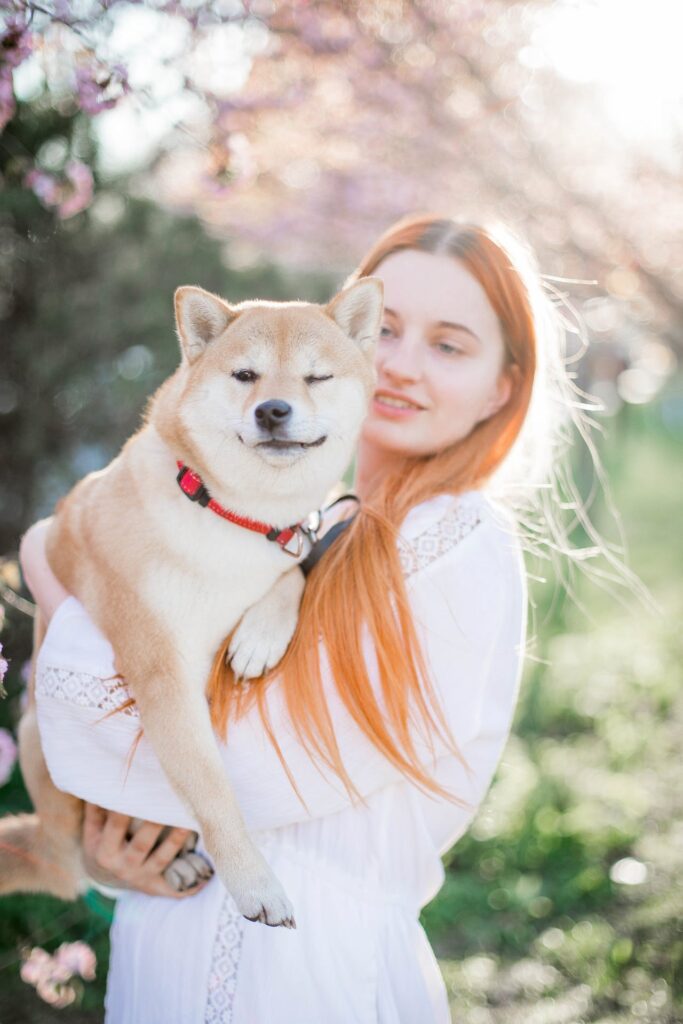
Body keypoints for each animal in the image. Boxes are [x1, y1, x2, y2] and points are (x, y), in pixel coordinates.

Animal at [0, 278, 382, 929]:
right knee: (88, 864)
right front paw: (255, 884)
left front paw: (259, 634)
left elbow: (291, 572)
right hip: (35, 737)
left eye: (317, 377)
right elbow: (213, 792)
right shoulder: (163, 677)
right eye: (245, 374)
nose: (272, 410)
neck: (234, 517)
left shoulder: (298, 534)